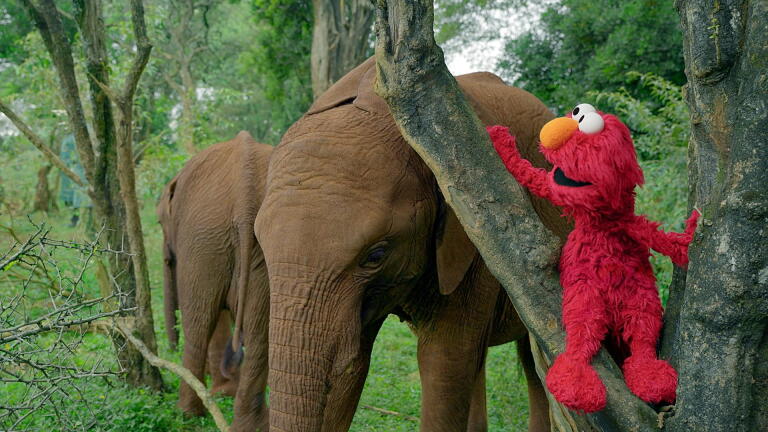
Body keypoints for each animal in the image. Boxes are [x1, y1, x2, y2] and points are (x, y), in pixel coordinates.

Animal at [157, 131, 272, 430]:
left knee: (198, 323)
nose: (169, 350)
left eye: (160, 224)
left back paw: (187, 414)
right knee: (260, 335)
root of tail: (245, 194)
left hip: (203, 239)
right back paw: (252, 424)